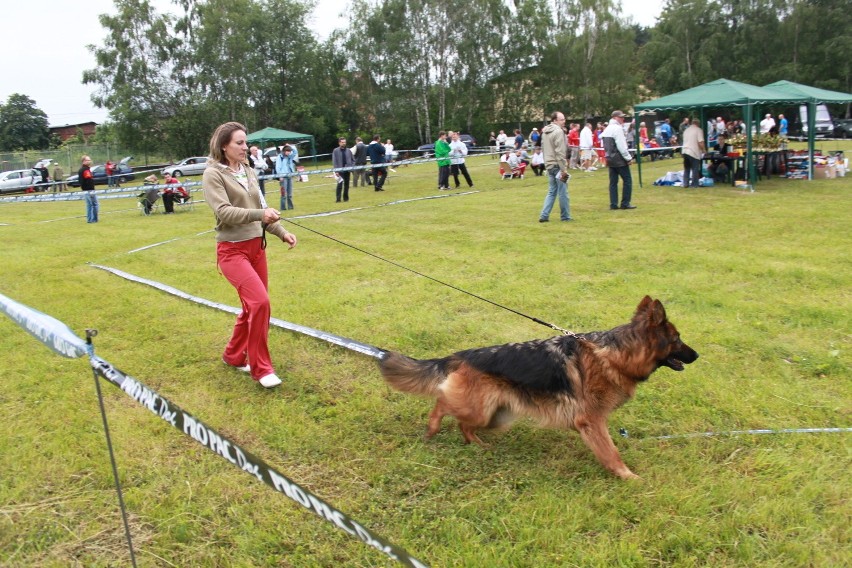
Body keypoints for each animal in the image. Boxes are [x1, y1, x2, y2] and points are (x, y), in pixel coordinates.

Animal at [380, 298, 700, 480]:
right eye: (677, 339)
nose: (697, 355)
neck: (615, 353)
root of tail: (460, 355)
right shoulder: (592, 421)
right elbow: (611, 453)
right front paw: (628, 477)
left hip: (496, 415)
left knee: (463, 425)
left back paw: (479, 446)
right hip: (481, 410)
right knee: (442, 404)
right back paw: (433, 428)